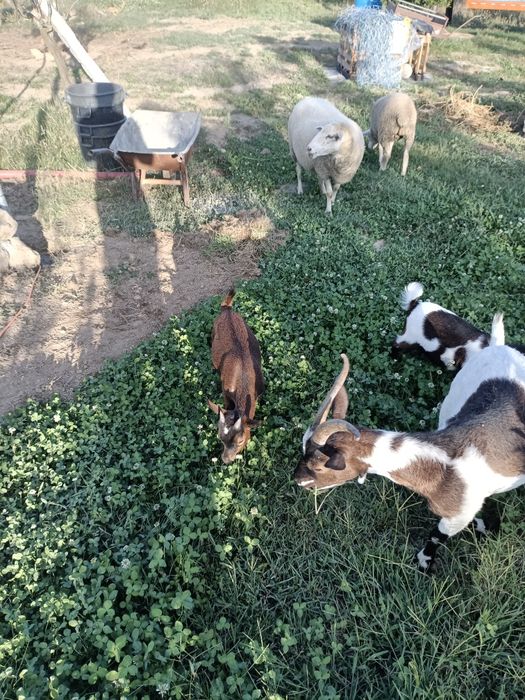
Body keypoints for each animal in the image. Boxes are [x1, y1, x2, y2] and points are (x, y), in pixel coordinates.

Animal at [295, 327, 525, 572]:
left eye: (319, 466)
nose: (297, 479)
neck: (444, 469)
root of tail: (499, 346)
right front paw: (483, 525)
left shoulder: (457, 516)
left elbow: (436, 535)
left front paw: (425, 563)